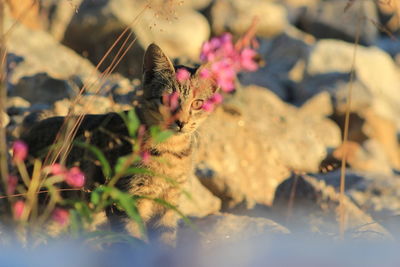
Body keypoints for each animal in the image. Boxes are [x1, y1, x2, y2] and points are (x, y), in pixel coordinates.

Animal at [20, 43, 217, 246]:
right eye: (166, 99)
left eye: (198, 103)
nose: (181, 122)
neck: (170, 150)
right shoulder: (126, 200)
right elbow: (132, 239)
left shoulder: (168, 202)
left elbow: (164, 239)